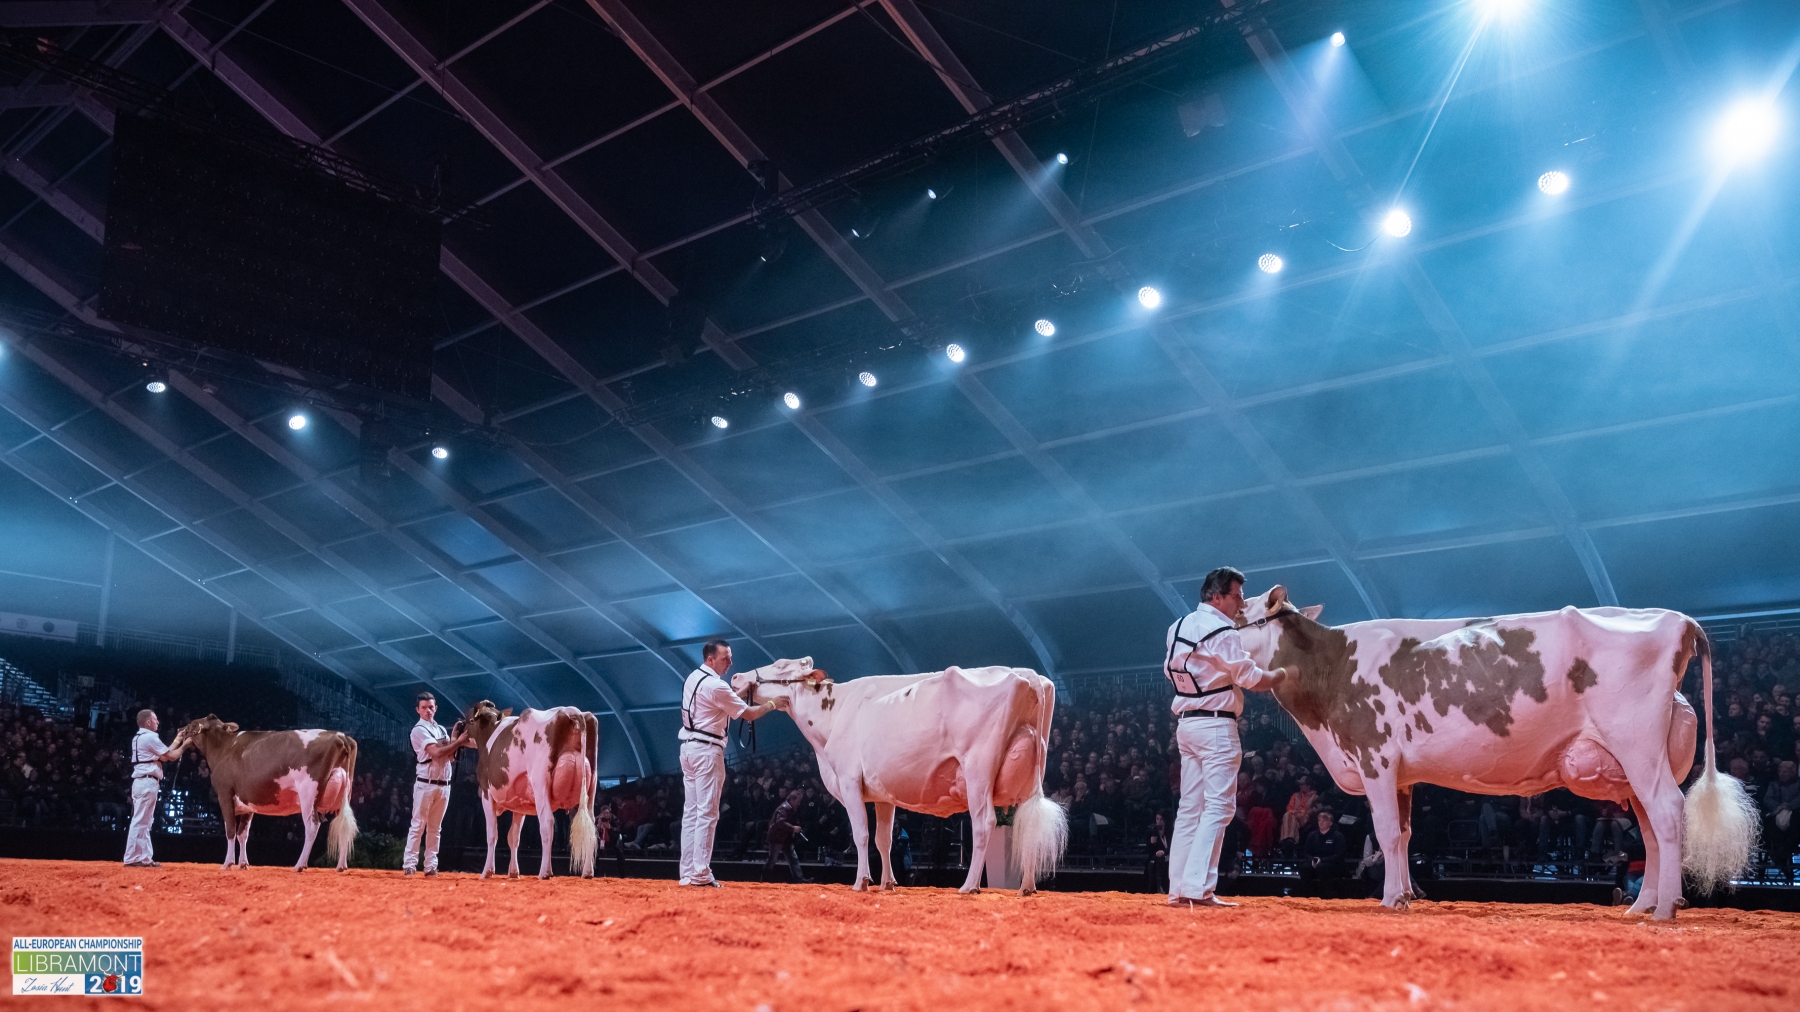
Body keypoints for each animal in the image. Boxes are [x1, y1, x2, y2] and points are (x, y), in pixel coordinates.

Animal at [178, 715, 359, 872]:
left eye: (192, 724)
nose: (180, 728)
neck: (223, 747)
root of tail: (341, 736)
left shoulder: (225, 794)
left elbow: (230, 830)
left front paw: (227, 863)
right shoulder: (247, 803)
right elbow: (243, 834)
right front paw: (243, 864)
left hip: (308, 792)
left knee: (312, 826)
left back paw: (299, 865)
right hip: (344, 795)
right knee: (344, 826)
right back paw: (341, 866)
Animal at [455, 701, 598, 879]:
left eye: (469, 720)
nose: (459, 729)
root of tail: (571, 711)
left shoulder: (486, 794)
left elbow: (492, 834)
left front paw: (487, 871)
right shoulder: (520, 804)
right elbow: (513, 837)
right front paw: (513, 872)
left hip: (540, 783)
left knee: (547, 823)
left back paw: (545, 871)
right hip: (590, 787)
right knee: (591, 825)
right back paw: (587, 872)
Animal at [730, 657, 1067, 895]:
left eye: (779, 664)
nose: (736, 676)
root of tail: (1030, 674)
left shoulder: (849, 780)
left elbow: (861, 834)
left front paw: (861, 882)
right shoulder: (882, 794)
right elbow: (884, 839)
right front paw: (888, 883)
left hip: (978, 769)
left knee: (984, 823)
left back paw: (969, 886)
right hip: (1029, 771)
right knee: (1027, 824)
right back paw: (1027, 887)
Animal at [1231, 586, 1759, 919]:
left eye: (1236, 616)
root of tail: (1678, 620)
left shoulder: (1375, 757)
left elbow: (1384, 833)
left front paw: (1389, 900)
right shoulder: (1403, 774)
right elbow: (1404, 834)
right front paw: (1407, 895)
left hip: (1638, 745)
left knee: (1668, 812)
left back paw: (1665, 909)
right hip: (1635, 763)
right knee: (1651, 830)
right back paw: (1642, 904)